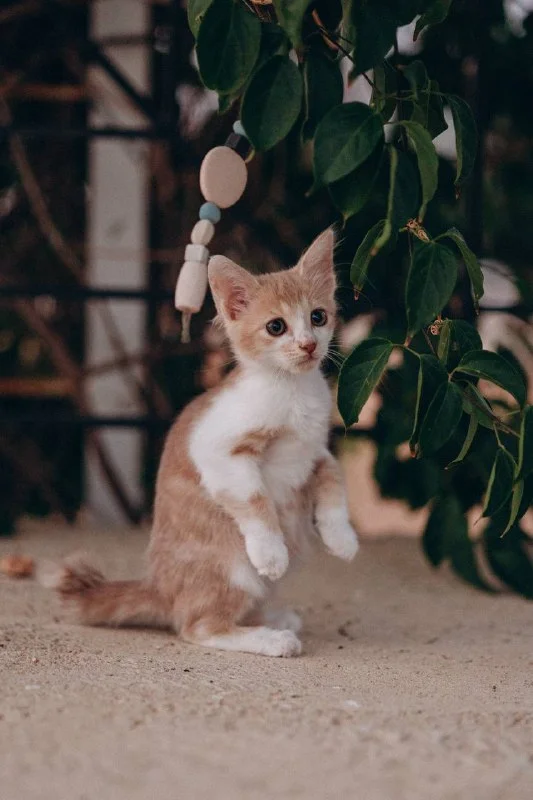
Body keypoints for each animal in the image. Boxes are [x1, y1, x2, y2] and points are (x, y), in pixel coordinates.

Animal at [46, 228, 358, 657]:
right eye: (276, 327)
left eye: (318, 317)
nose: (309, 345)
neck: (292, 391)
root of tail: (161, 587)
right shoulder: (216, 449)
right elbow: (254, 498)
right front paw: (270, 549)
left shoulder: (315, 451)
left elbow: (334, 483)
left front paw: (342, 537)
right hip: (232, 568)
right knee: (200, 626)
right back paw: (271, 637)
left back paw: (273, 617)